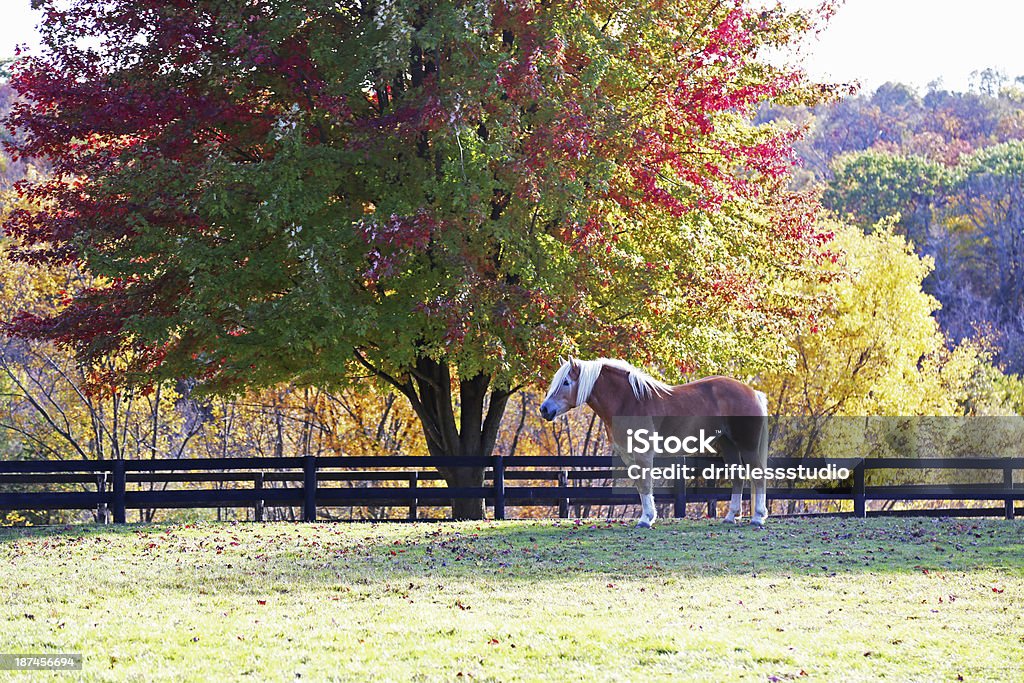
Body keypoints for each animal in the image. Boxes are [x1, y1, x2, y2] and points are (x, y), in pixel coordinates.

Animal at [536, 358, 770, 528]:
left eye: (566, 382)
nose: (544, 409)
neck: (629, 401)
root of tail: (753, 392)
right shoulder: (628, 456)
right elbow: (640, 485)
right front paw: (647, 517)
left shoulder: (643, 454)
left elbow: (646, 484)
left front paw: (646, 520)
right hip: (728, 444)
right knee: (738, 476)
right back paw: (731, 517)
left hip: (747, 446)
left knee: (757, 476)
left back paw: (757, 518)